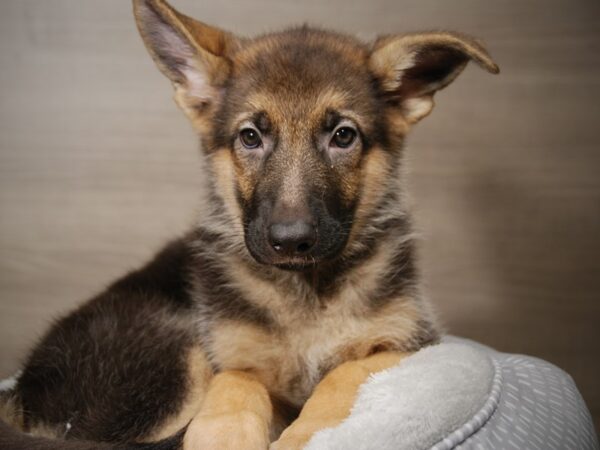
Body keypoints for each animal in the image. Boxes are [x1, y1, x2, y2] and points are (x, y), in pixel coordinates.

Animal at [0, 0, 496, 448]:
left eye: (343, 136)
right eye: (250, 137)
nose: (291, 241)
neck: (306, 295)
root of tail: (19, 397)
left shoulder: (410, 344)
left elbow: (344, 374)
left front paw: (305, 436)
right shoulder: (234, 359)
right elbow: (239, 383)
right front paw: (225, 434)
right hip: (172, 347)